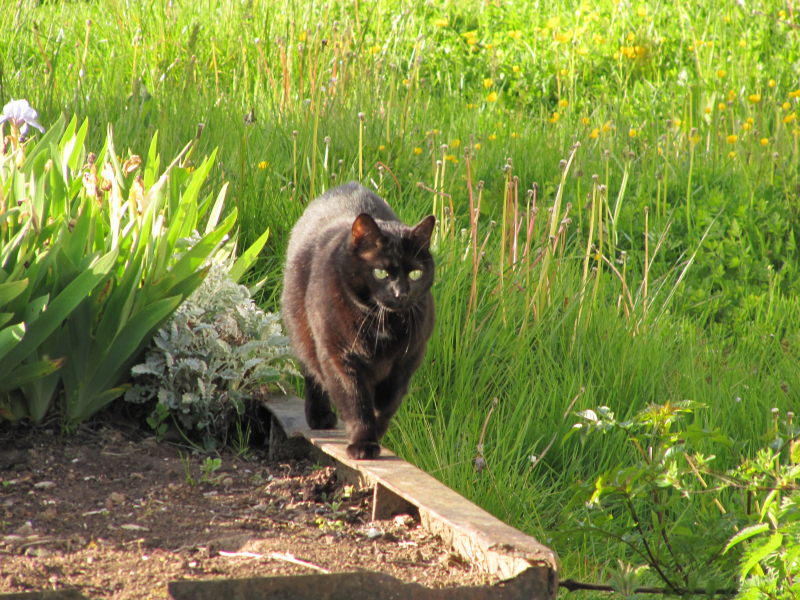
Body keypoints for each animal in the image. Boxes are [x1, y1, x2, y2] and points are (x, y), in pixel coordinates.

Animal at [282, 183, 438, 460]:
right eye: (380, 272)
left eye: (415, 273)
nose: (401, 293)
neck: (381, 321)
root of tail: (348, 185)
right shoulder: (339, 356)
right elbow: (355, 400)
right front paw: (363, 443)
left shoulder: (408, 360)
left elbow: (387, 403)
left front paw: (377, 431)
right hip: (301, 330)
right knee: (311, 371)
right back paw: (320, 417)